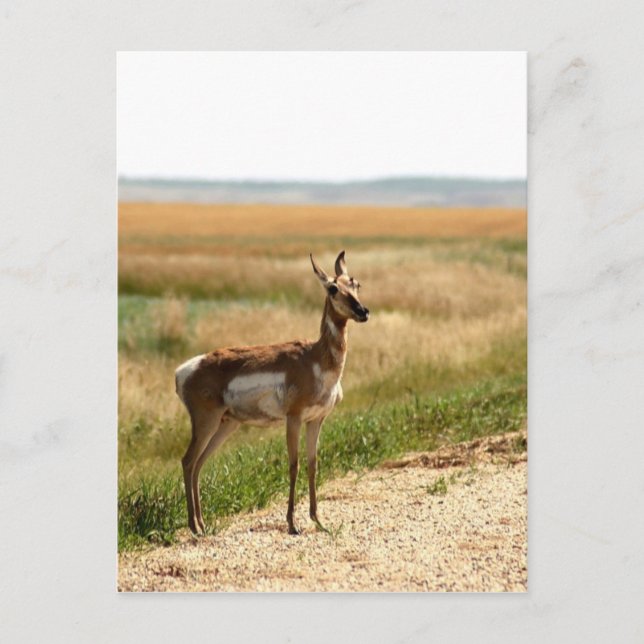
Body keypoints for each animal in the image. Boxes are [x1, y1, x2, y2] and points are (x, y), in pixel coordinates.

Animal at [175, 251, 369, 535]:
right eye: (333, 288)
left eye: (355, 283)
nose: (363, 311)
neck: (315, 359)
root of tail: (183, 371)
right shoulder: (294, 418)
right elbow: (294, 465)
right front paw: (292, 524)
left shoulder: (316, 420)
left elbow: (313, 464)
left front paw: (318, 521)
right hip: (206, 421)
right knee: (188, 460)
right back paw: (194, 528)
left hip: (226, 424)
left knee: (199, 463)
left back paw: (202, 524)